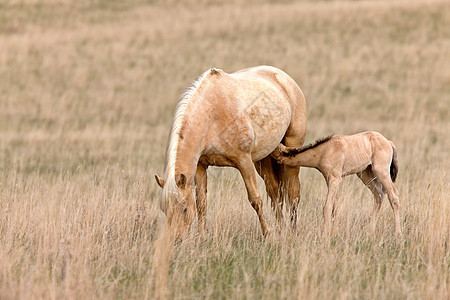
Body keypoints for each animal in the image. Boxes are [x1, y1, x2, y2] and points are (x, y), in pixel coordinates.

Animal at [155, 65, 306, 237]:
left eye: (184, 209)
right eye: (165, 210)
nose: (177, 239)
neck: (212, 114)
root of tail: (284, 78)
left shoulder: (244, 162)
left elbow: (255, 199)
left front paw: (267, 233)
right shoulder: (200, 166)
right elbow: (201, 203)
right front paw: (202, 236)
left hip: (291, 153)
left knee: (293, 194)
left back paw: (292, 232)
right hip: (264, 159)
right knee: (274, 192)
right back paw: (280, 229)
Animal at [270, 131, 400, 234]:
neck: (325, 150)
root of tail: (388, 142)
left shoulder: (335, 179)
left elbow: (327, 207)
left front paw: (325, 235)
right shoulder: (329, 180)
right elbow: (334, 207)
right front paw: (334, 233)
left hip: (381, 171)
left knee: (393, 196)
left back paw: (398, 234)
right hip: (364, 174)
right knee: (379, 195)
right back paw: (370, 231)